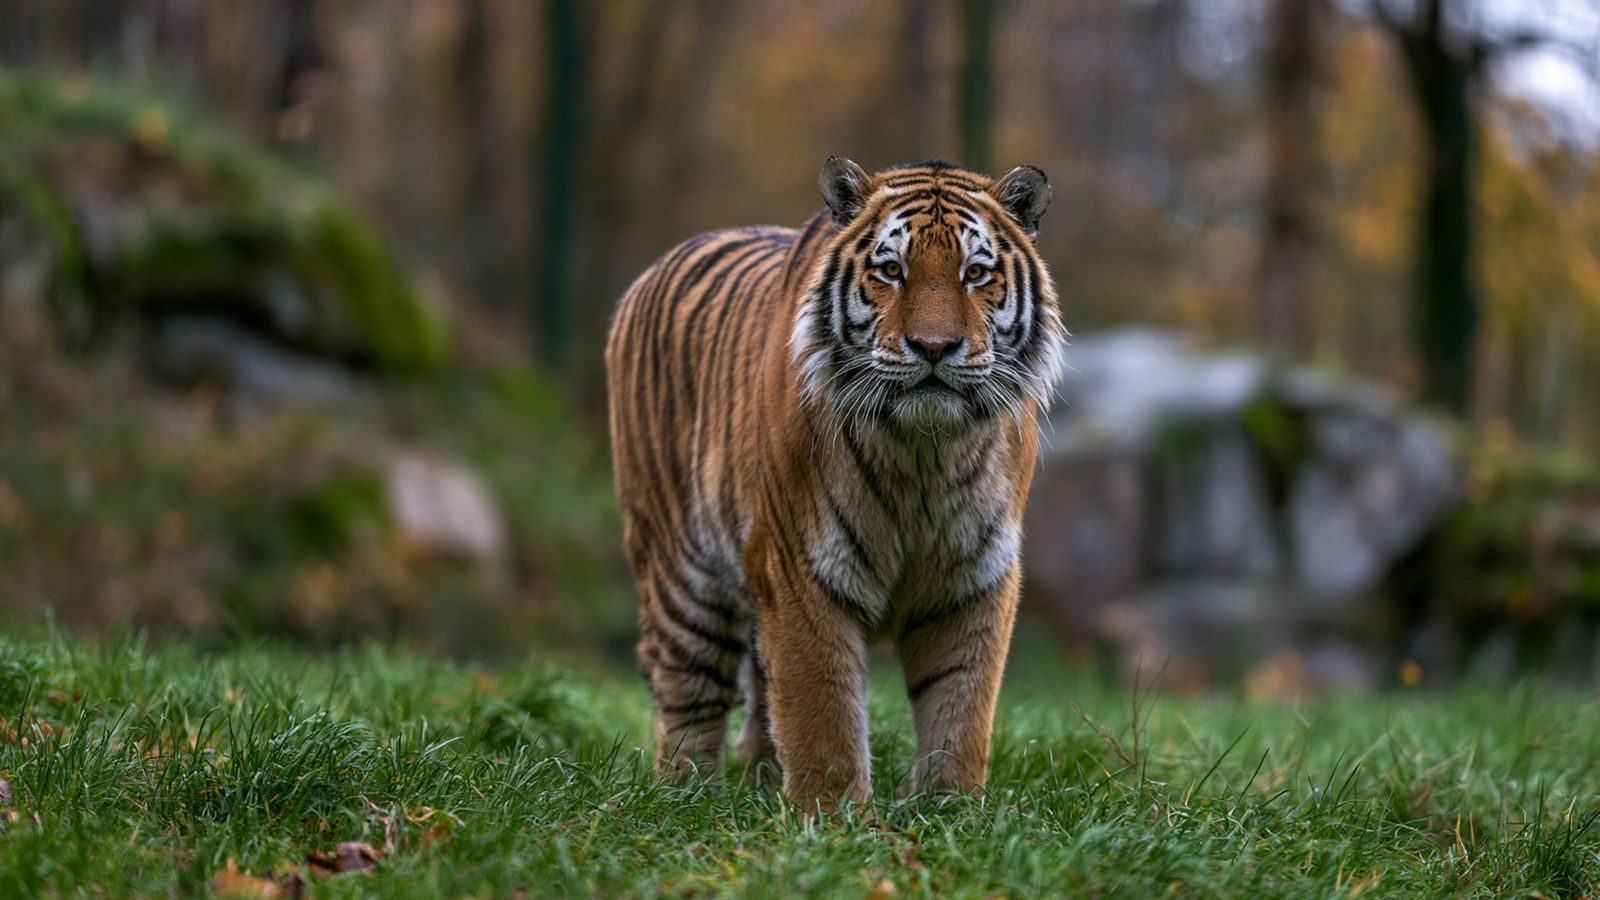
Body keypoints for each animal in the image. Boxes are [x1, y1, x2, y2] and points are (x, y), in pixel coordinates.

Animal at [605, 157, 1064, 810]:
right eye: (891, 270)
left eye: (976, 274)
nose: (934, 347)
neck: (924, 452)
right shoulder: (799, 565)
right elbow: (821, 707)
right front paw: (833, 816)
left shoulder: (975, 573)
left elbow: (960, 708)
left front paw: (951, 811)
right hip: (680, 573)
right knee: (688, 697)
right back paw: (685, 800)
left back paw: (757, 784)